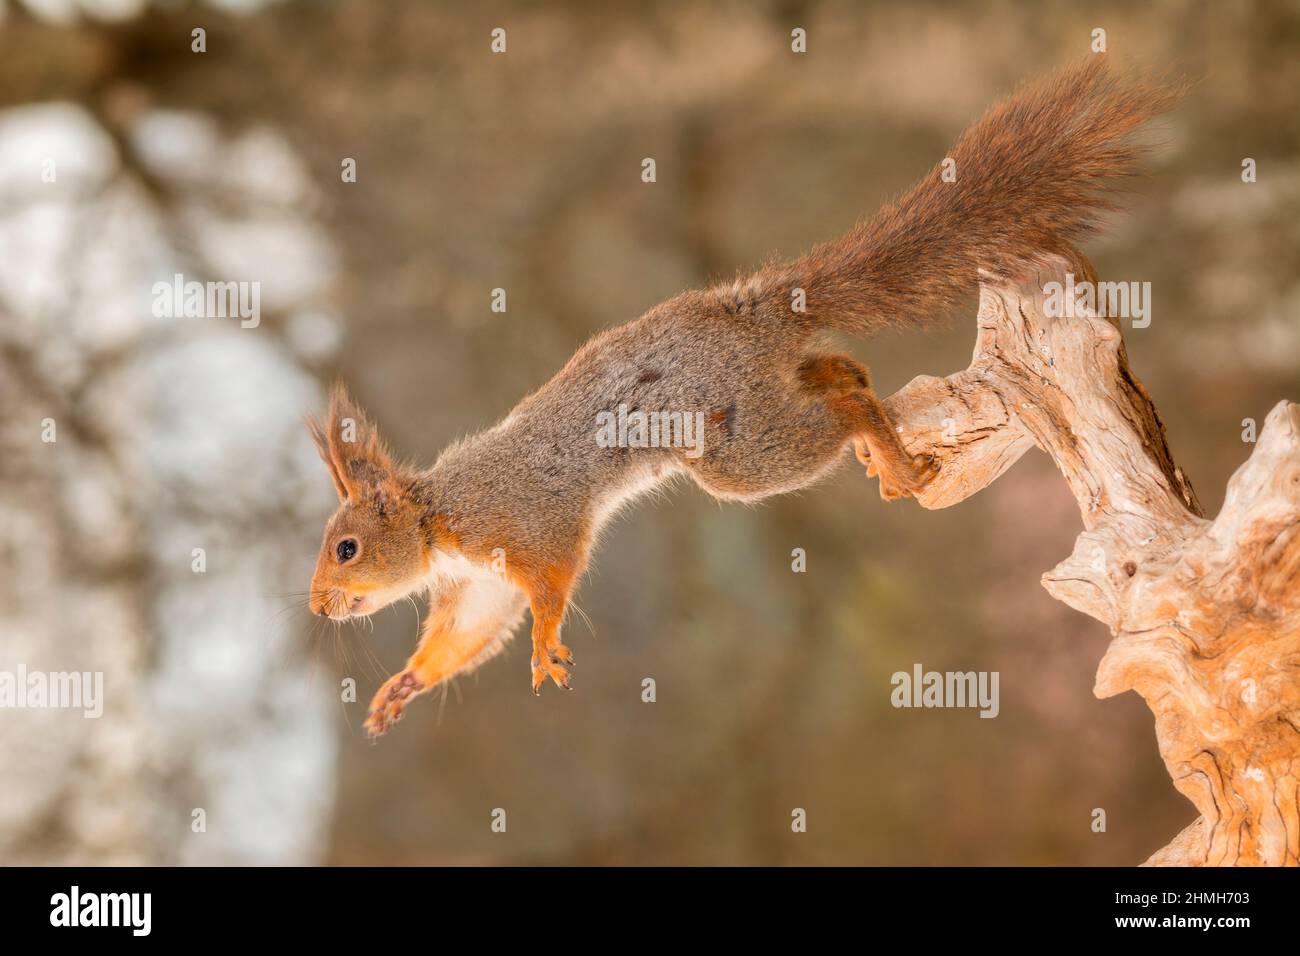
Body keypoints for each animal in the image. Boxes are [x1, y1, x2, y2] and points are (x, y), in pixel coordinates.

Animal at [307, 59, 1180, 738]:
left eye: (345, 547)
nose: (317, 608)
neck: (437, 516)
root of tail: (750, 311)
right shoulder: (475, 587)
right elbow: (463, 636)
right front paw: (402, 687)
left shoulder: (523, 522)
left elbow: (551, 585)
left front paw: (545, 645)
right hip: (762, 404)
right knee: (841, 371)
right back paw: (878, 438)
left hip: (737, 449)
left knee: (841, 406)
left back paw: (890, 456)